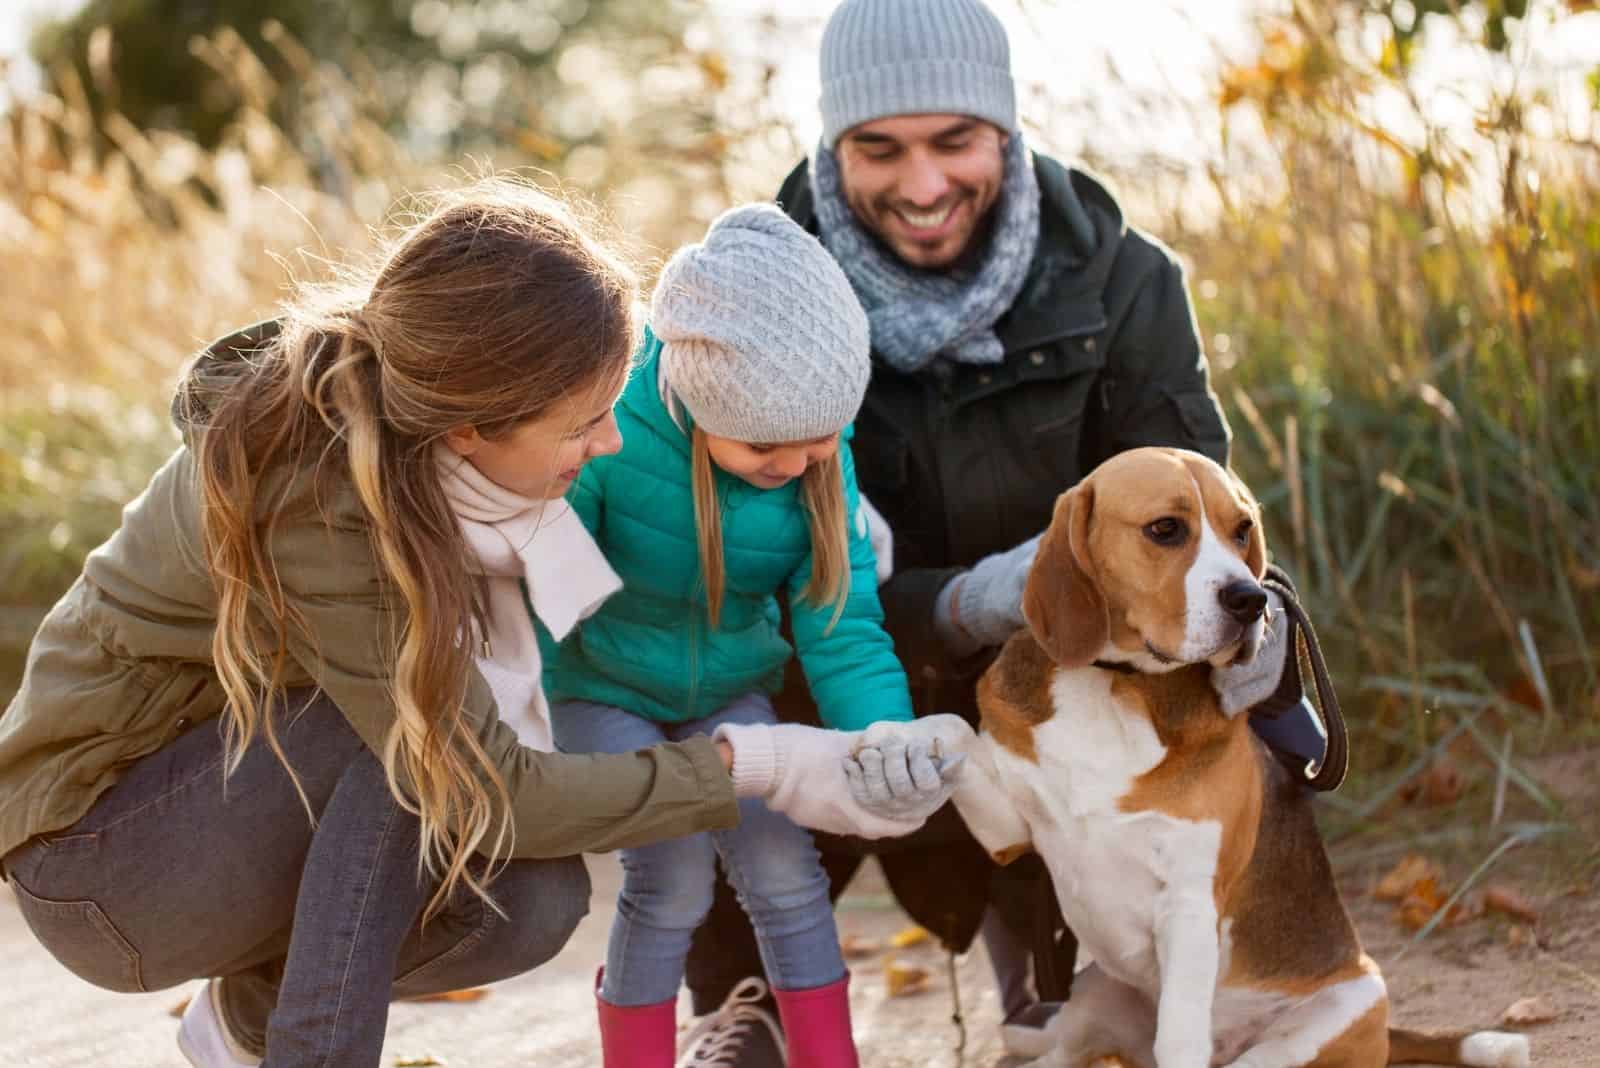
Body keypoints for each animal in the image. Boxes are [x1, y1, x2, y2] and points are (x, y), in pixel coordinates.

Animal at [864, 447, 1523, 1061]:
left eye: (1243, 530)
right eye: (1165, 529)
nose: (1251, 599)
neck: (1117, 684)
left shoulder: (1187, 903)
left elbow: (1179, 1040)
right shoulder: (1007, 831)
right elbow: (955, 729)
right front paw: (895, 747)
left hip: (1338, 1010)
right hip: (1093, 993)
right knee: (1064, 1051)